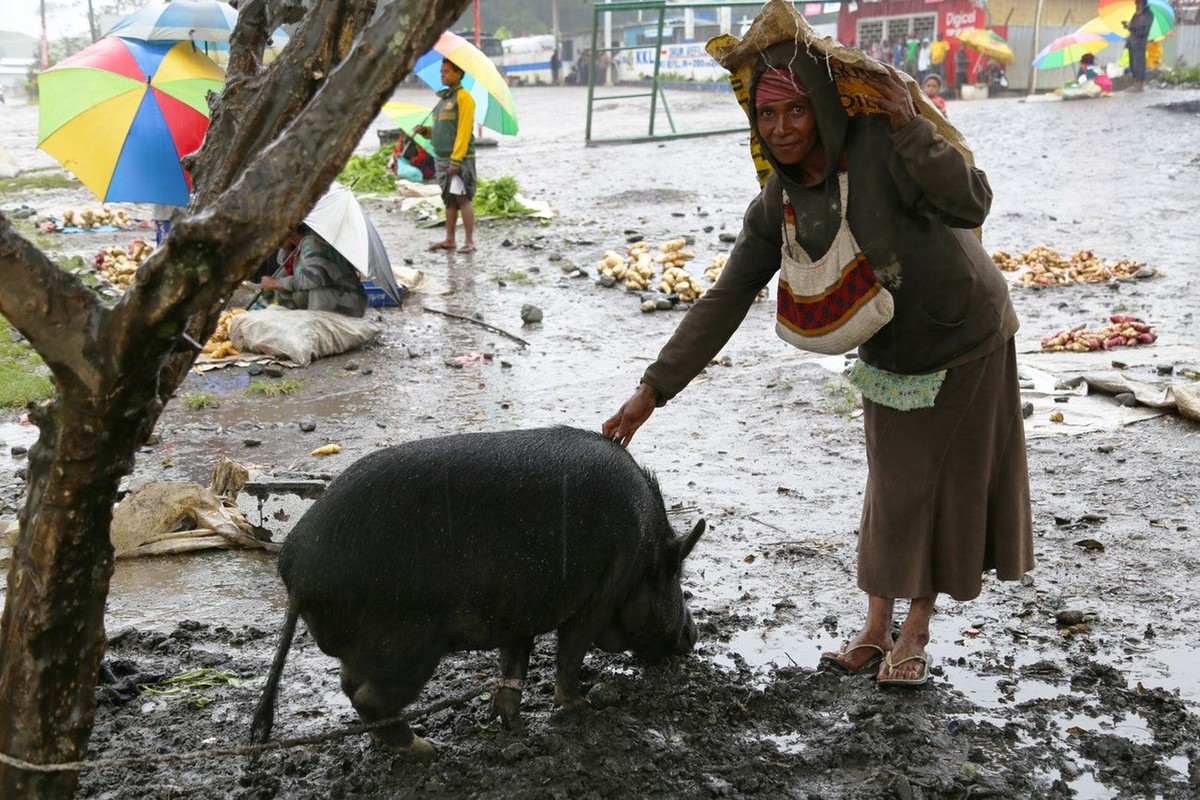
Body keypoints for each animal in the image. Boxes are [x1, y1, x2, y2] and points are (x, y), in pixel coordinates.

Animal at [253, 424, 700, 758]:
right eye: (677, 582)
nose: (693, 634)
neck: (645, 553)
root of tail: (295, 567)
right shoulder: (599, 595)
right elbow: (570, 655)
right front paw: (582, 706)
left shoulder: (518, 610)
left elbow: (513, 666)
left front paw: (512, 725)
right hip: (407, 643)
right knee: (367, 697)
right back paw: (426, 750)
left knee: (351, 686)